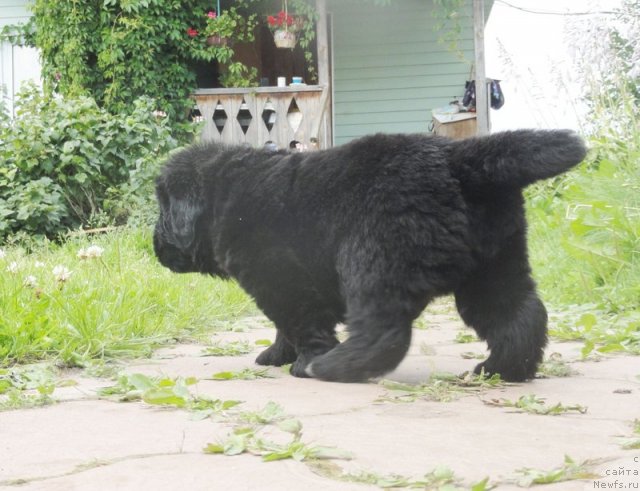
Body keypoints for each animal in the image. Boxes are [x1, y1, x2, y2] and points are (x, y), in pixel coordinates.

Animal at [154, 131, 584, 384]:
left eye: (163, 210)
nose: (154, 247)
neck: (224, 193)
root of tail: (456, 158)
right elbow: (283, 327)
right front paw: (276, 354)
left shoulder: (282, 279)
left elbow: (300, 322)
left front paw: (302, 363)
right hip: (492, 265)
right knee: (519, 314)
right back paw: (501, 370)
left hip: (374, 259)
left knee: (385, 329)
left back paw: (336, 367)